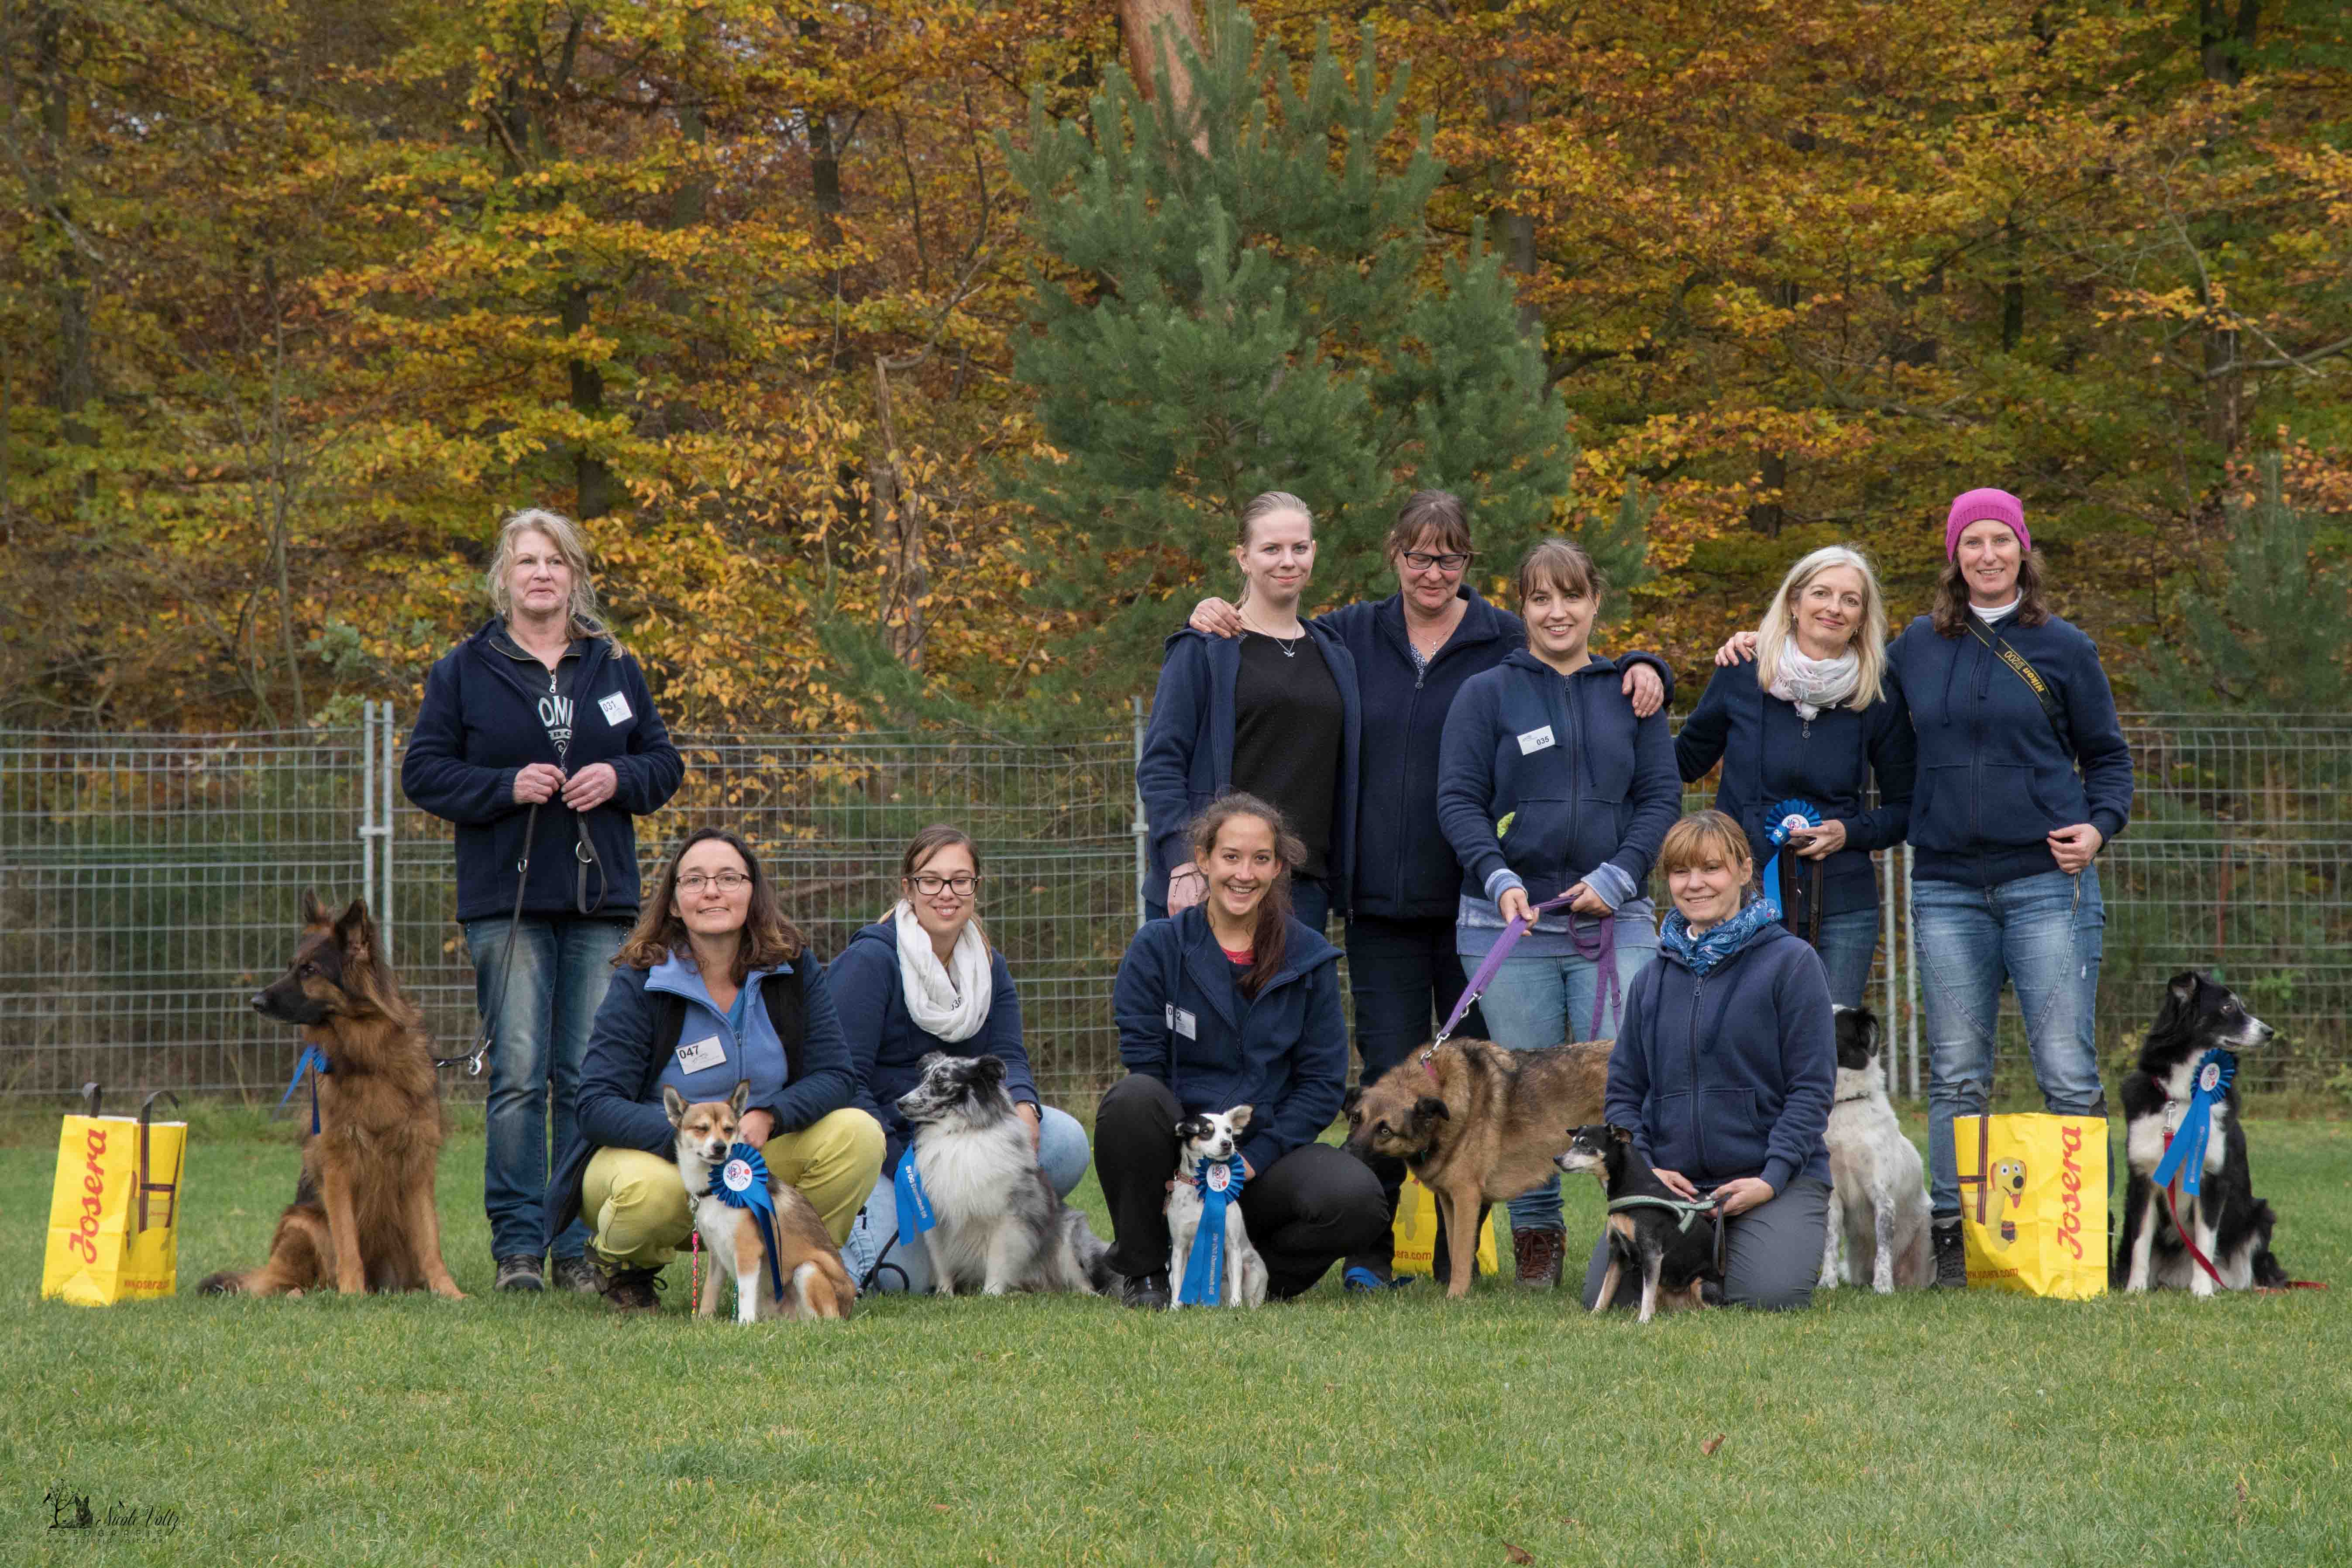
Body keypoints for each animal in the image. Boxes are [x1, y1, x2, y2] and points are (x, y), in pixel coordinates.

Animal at [199, 893, 465, 1297]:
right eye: (290, 967)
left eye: (309, 970)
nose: (255, 1001)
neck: (367, 1059)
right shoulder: (339, 1165)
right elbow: (346, 1241)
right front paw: (352, 1294)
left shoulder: (418, 1164)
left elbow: (431, 1242)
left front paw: (449, 1292)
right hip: (301, 1223)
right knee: (287, 1282)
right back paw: (301, 1294)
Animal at [663, 1081, 856, 1326]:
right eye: (701, 1128)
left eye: (729, 1129)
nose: (720, 1147)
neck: (714, 1189)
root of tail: (848, 1309)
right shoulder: (717, 1253)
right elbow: (709, 1291)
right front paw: (704, 1321)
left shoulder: (748, 1250)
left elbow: (745, 1296)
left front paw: (744, 1325)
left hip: (808, 1271)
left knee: (823, 1319)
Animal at [1345, 1044, 1618, 1297]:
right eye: (1356, 1119)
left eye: (1385, 1130)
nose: (1346, 1154)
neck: (1440, 1090)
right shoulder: (1449, 1200)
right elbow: (1454, 1247)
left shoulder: (1466, 1197)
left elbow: (1461, 1252)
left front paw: (1456, 1296)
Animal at [1816, 1011, 1929, 1297]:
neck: (1846, 1107)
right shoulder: (1832, 1198)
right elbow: (1830, 1245)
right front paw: (1827, 1283)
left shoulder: (1883, 1196)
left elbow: (1884, 1250)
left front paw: (1883, 1287)